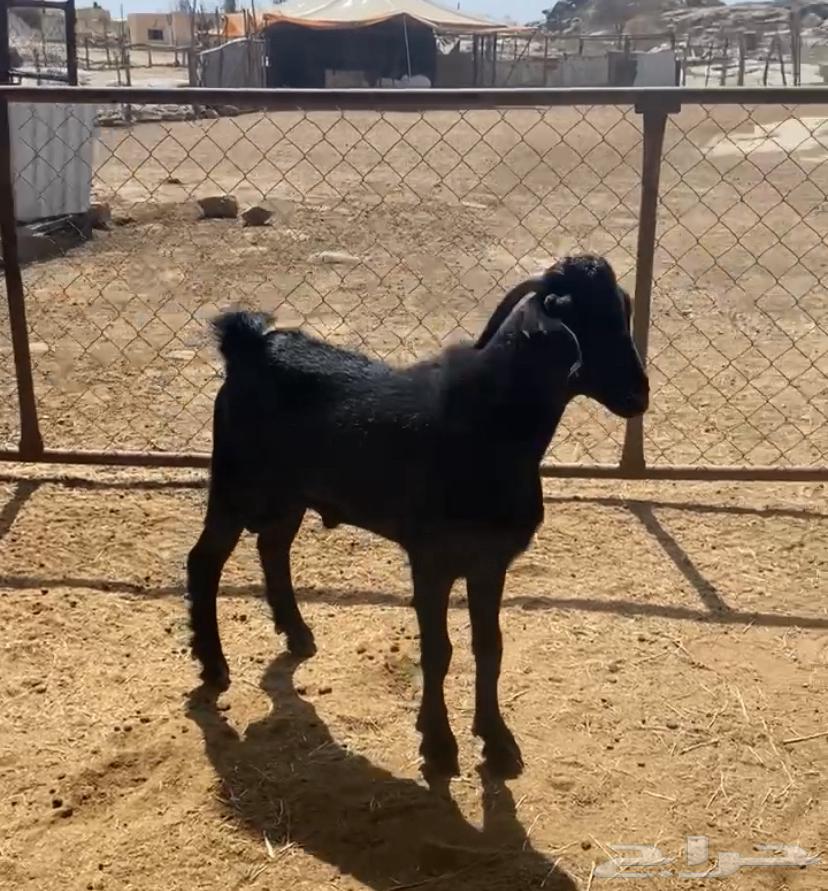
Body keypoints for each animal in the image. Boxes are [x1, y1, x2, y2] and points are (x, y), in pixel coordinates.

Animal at [187, 253, 649, 777]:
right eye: (577, 315)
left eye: (621, 312)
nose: (639, 395)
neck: (490, 428)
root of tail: (247, 346)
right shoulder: (431, 560)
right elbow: (437, 651)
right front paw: (440, 746)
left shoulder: (490, 562)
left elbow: (489, 648)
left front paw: (497, 742)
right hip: (235, 483)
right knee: (205, 560)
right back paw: (213, 665)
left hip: (291, 492)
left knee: (273, 546)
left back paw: (298, 634)